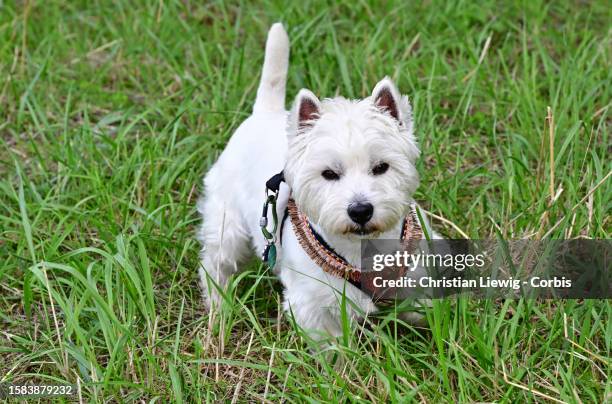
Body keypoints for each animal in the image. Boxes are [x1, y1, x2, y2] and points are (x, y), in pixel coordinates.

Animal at [198, 22, 438, 338]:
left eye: (381, 167)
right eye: (329, 174)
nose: (360, 211)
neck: (360, 248)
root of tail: (264, 113)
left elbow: (427, 312)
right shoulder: (314, 304)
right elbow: (333, 344)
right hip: (228, 224)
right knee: (216, 263)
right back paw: (218, 308)